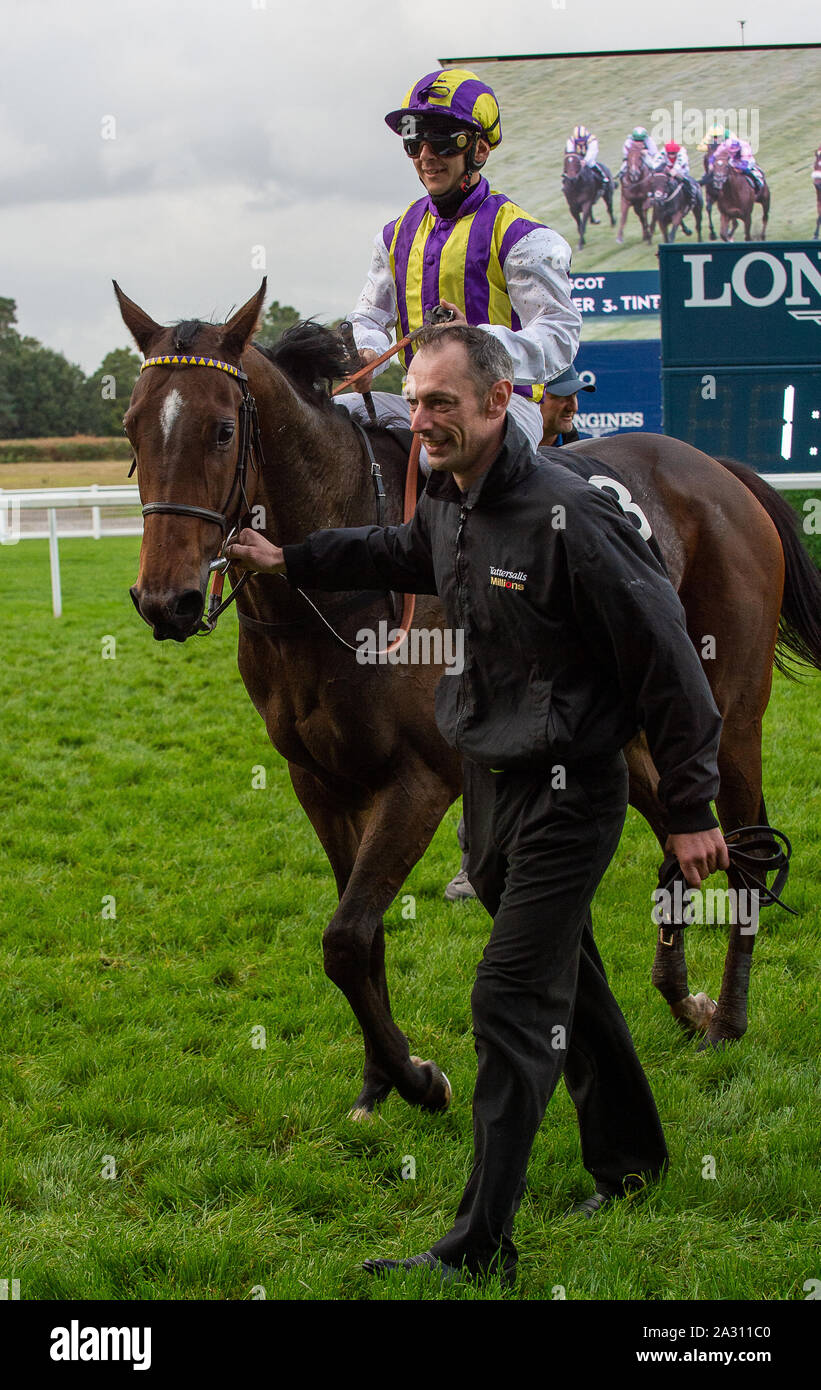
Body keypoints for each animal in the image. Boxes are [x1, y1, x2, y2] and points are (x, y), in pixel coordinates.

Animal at [118, 282, 821, 1117]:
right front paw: (378, 1079)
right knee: (683, 837)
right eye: (132, 426)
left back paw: (728, 1017)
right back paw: (684, 1000)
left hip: (728, 710)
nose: (165, 601)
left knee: (745, 850)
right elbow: (359, 932)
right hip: (629, 731)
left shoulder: (421, 778)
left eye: (223, 430)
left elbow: (345, 936)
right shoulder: (317, 781)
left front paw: (418, 1080)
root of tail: (716, 468)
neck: (338, 593)